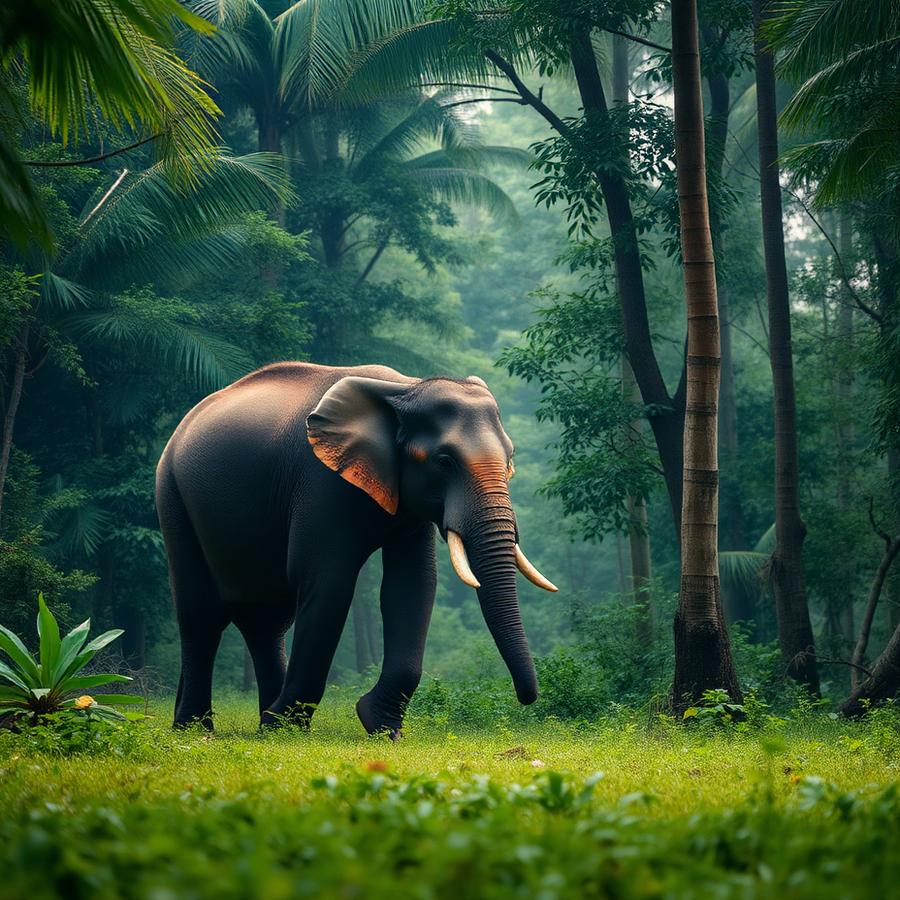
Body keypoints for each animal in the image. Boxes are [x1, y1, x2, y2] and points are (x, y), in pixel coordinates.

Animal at [155, 362, 557, 735]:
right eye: (444, 461)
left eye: (510, 459)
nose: (527, 697)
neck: (405, 388)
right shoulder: (320, 480)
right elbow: (327, 579)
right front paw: (290, 727)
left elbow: (411, 583)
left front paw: (381, 726)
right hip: (172, 495)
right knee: (201, 613)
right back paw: (199, 729)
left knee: (265, 620)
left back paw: (262, 722)